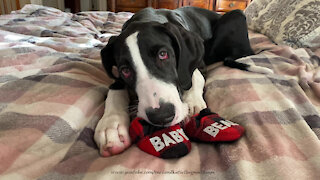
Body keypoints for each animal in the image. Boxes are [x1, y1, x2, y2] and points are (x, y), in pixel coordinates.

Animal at [94, 6, 272, 156]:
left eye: (163, 54)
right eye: (125, 70)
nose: (161, 116)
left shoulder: (199, 63)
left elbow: (194, 76)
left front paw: (193, 102)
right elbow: (115, 87)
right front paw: (112, 124)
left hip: (235, 16)